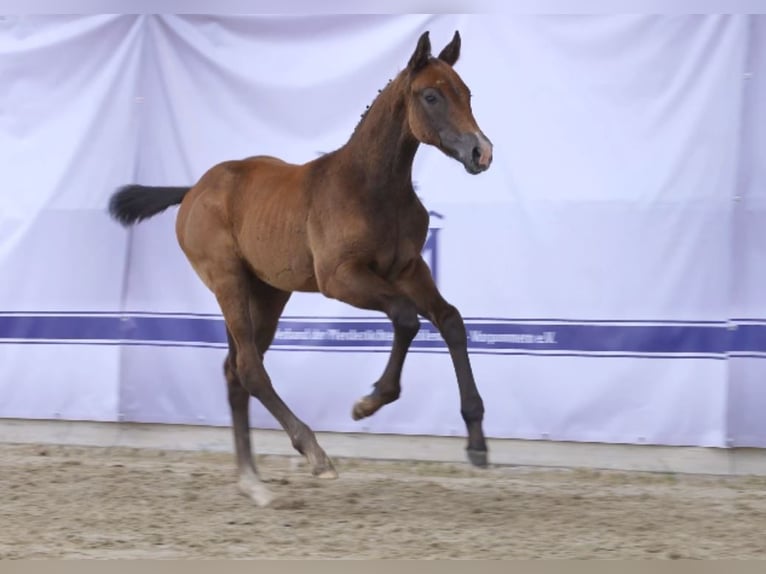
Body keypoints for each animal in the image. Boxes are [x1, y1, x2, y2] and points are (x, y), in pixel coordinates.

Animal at [106, 31, 492, 508]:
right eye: (431, 96)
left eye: (467, 93)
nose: (481, 151)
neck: (372, 187)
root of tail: (194, 189)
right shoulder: (339, 278)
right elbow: (405, 317)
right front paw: (368, 403)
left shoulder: (408, 268)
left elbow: (450, 320)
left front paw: (477, 442)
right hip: (228, 283)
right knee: (250, 369)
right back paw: (313, 452)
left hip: (268, 294)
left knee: (234, 371)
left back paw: (253, 481)